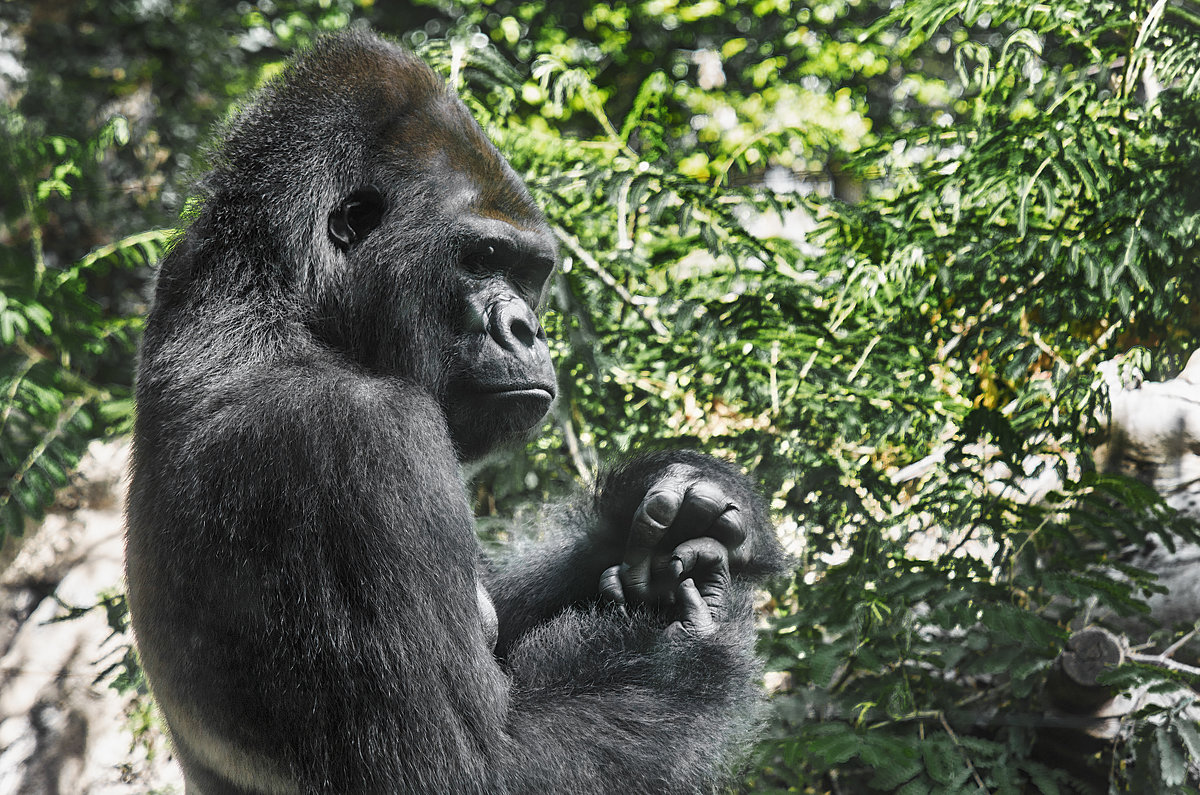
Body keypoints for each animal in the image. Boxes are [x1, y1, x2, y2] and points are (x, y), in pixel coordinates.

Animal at [126, 28, 787, 792]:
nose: (526, 329)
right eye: (481, 257)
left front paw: (667, 500)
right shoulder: (355, 437)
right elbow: (469, 768)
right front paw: (699, 629)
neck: (281, 308)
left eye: (528, 273)